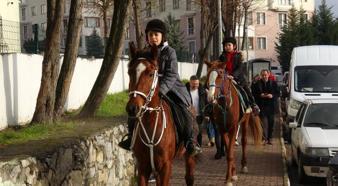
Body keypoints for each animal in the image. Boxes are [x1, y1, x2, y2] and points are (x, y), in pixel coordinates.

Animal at [126, 42, 195, 186]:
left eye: (151, 74)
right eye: (129, 73)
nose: (132, 108)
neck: (150, 122)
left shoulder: (165, 167)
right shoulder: (143, 167)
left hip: (189, 155)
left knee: (189, 177)